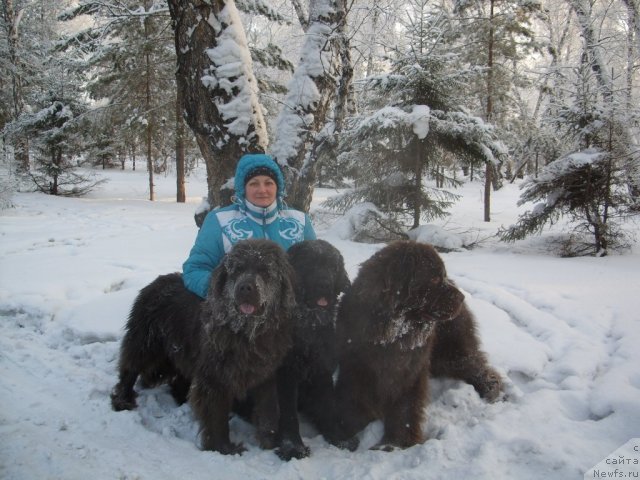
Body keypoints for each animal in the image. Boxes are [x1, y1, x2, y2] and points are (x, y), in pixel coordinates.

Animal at [111, 238, 296, 456]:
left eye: (265, 270)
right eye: (236, 270)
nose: (245, 287)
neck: (245, 332)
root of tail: (155, 283)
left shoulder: (265, 373)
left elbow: (268, 408)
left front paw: (270, 441)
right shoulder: (214, 377)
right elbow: (216, 415)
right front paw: (224, 447)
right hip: (146, 342)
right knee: (129, 368)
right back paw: (122, 399)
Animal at [276, 238, 352, 460]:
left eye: (332, 266)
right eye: (309, 263)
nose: (324, 284)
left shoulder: (322, 369)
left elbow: (328, 405)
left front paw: (338, 437)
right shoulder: (287, 372)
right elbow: (289, 413)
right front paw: (293, 447)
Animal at [328, 242, 502, 452]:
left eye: (442, 275)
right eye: (434, 278)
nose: (461, 297)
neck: (389, 334)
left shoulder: (409, 371)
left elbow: (405, 409)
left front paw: (394, 443)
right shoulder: (356, 367)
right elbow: (352, 401)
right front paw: (344, 433)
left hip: (447, 352)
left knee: (474, 364)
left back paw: (490, 387)